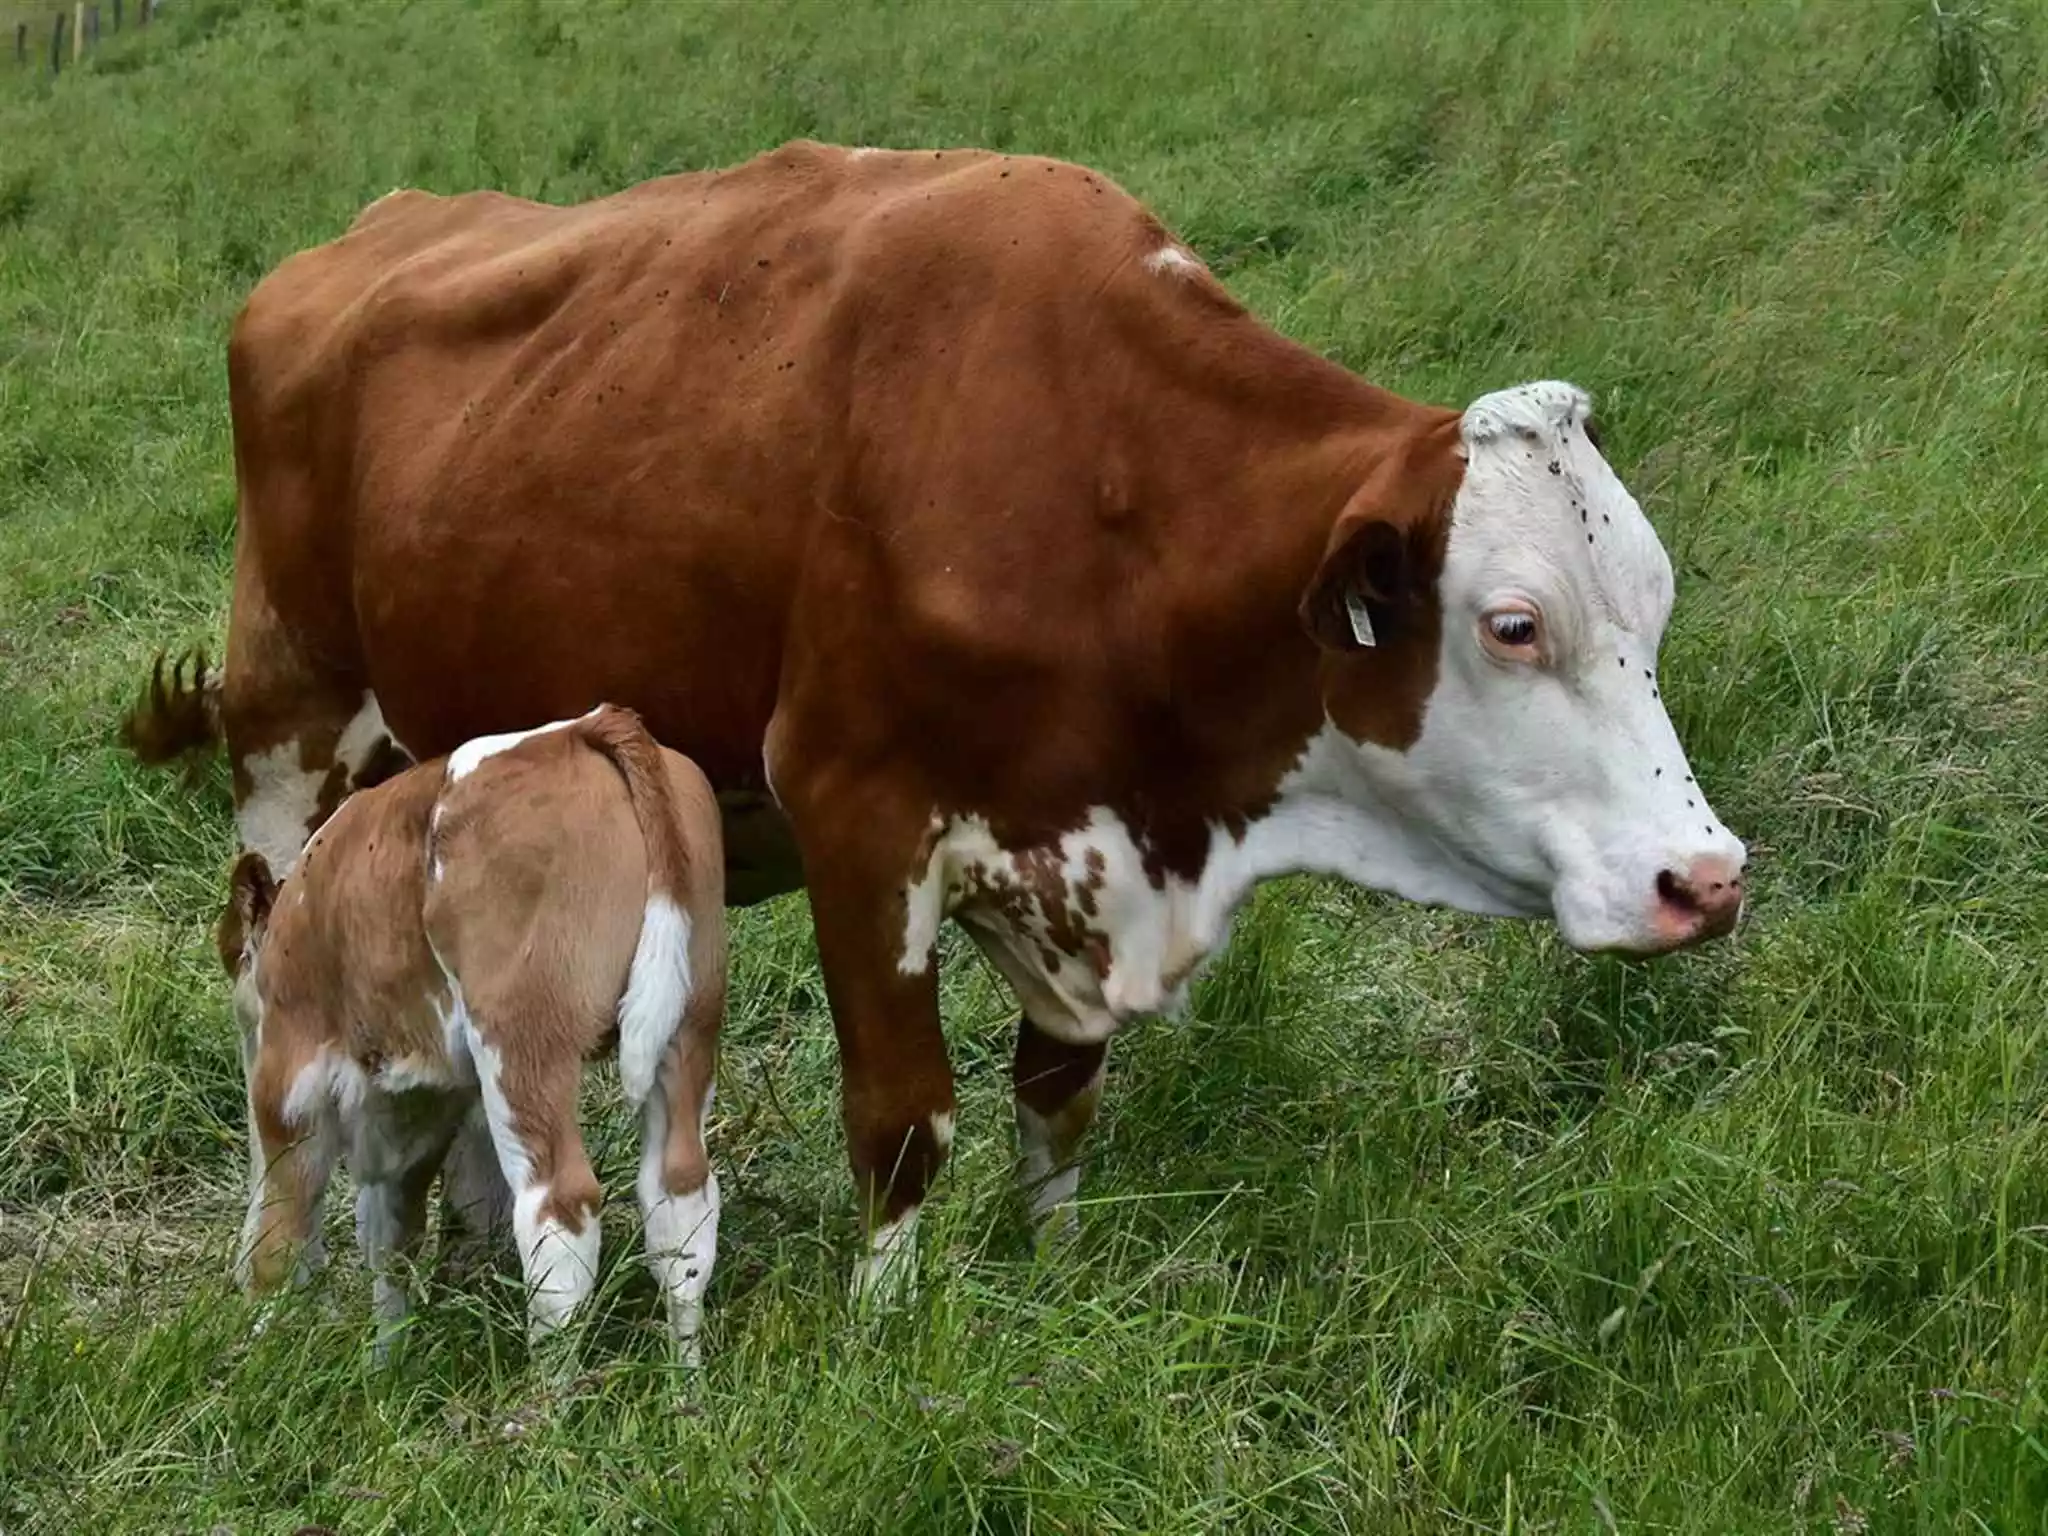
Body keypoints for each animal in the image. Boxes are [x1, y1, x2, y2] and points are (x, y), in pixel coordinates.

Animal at [216, 704, 724, 1368]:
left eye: (246, 1020)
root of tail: (582, 730)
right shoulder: (415, 1104)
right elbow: (390, 1236)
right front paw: (385, 1366)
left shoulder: (291, 1089)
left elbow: (284, 1235)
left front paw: (260, 1357)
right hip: (689, 1020)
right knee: (680, 1202)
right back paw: (685, 1378)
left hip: (522, 1040)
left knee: (558, 1214)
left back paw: (549, 1390)